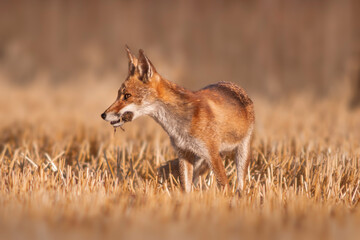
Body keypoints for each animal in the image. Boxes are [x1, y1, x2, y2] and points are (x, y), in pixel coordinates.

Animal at [100, 46, 253, 193]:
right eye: (118, 95)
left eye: (127, 96)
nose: (103, 115)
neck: (178, 126)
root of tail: (233, 84)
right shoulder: (184, 153)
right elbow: (186, 188)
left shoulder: (212, 155)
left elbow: (225, 187)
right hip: (199, 159)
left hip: (241, 153)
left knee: (241, 184)